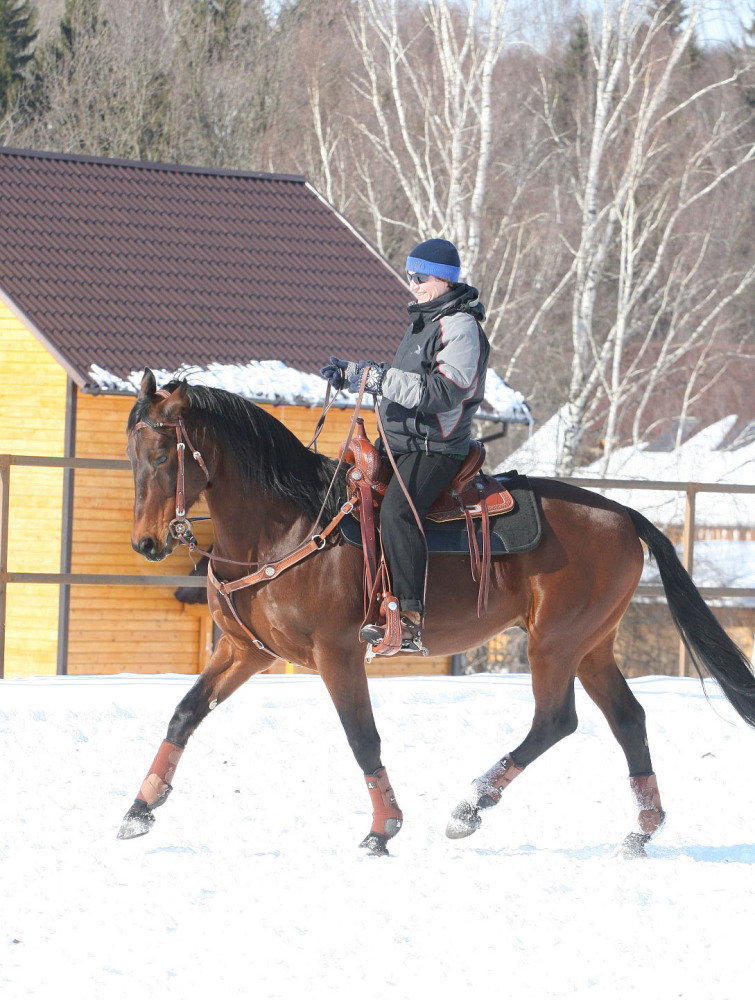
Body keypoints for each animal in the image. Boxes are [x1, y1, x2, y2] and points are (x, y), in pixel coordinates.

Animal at [118, 372, 755, 856]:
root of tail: (623, 514)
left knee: (556, 720)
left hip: (554, 643)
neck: (287, 525)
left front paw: (384, 828)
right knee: (628, 720)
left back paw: (471, 806)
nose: (146, 544)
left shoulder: (337, 653)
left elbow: (362, 737)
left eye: (163, 454)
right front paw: (139, 808)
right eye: (131, 456)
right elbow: (185, 713)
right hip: (591, 646)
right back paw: (641, 831)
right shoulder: (246, 651)